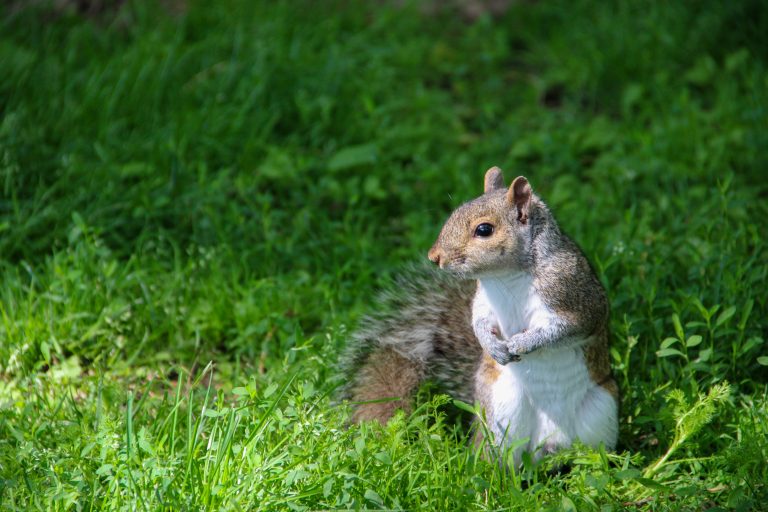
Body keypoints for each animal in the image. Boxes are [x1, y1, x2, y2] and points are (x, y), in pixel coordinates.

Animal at [338, 167, 618, 463]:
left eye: (484, 230)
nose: (434, 257)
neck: (507, 276)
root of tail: (545, 446)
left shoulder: (576, 295)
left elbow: (565, 328)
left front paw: (522, 343)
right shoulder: (483, 301)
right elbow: (479, 323)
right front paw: (492, 346)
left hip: (603, 411)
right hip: (499, 415)